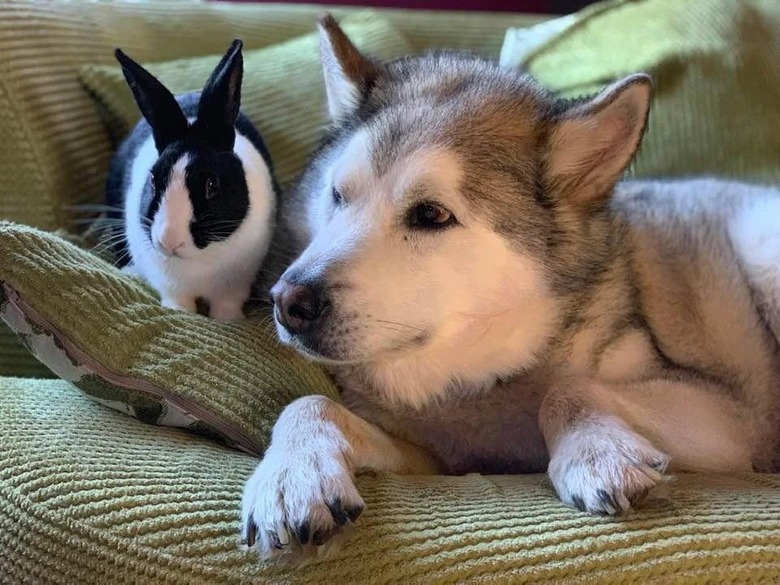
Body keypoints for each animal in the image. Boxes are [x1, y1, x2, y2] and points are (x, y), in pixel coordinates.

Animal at [100, 40, 278, 320]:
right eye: (153, 178)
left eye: (212, 185)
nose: (169, 241)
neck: (197, 261)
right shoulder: (171, 286)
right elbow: (178, 301)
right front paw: (179, 312)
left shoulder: (235, 286)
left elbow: (227, 304)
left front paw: (229, 320)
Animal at [241, 16, 780, 560]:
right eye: (338, 195)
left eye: (431, 214)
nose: (287, 301)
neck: (485, 376)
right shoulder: (434, 460)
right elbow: (310, 404)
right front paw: (291, 472)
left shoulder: (726, 418)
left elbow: (566, 389)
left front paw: (598, 452)